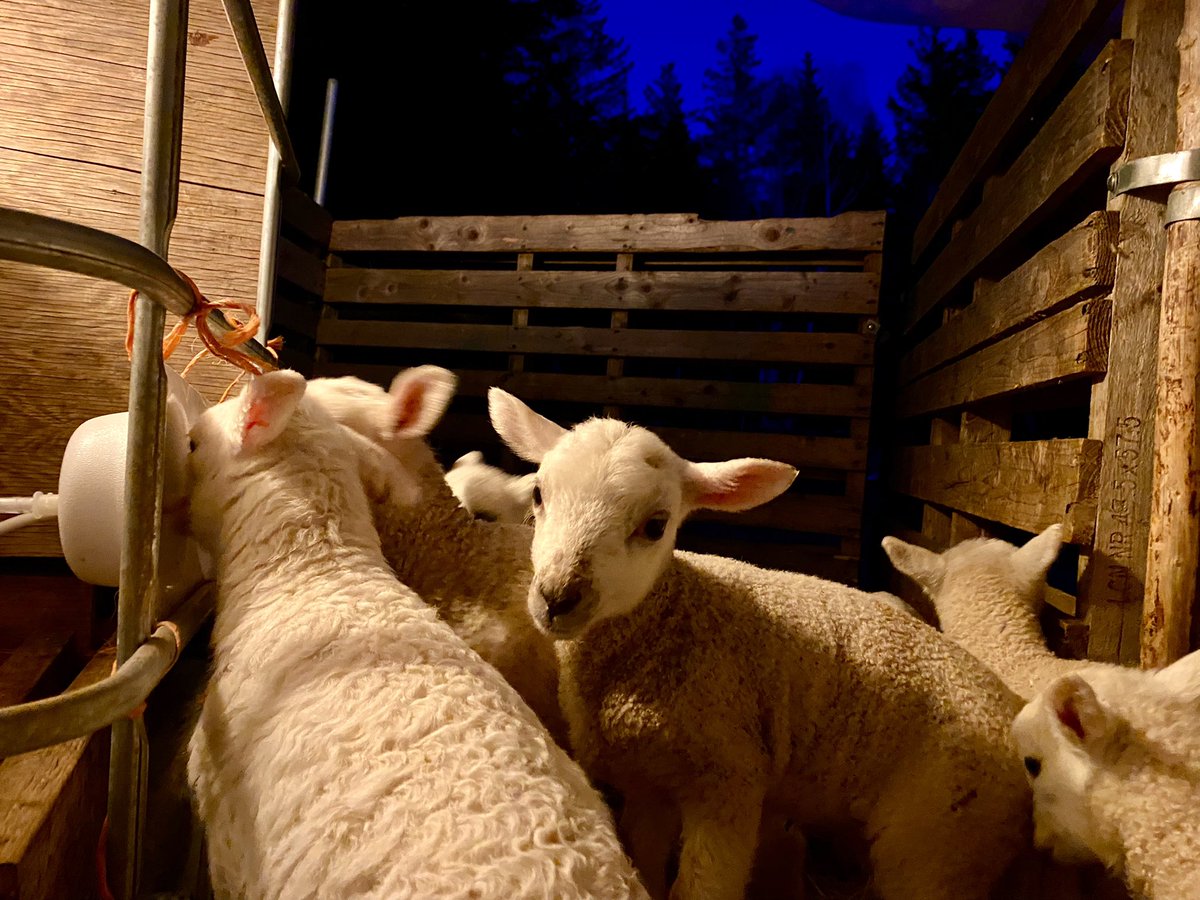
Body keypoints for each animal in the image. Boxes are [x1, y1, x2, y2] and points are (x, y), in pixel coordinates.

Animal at [486, 388, 1034, 900]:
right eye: (538, 495)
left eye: (656, 525)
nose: (557, 597)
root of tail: (1015, 709)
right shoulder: (647, 780)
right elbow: (646, 858)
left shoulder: (728, 781)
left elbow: (702, 886)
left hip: (939, 838)